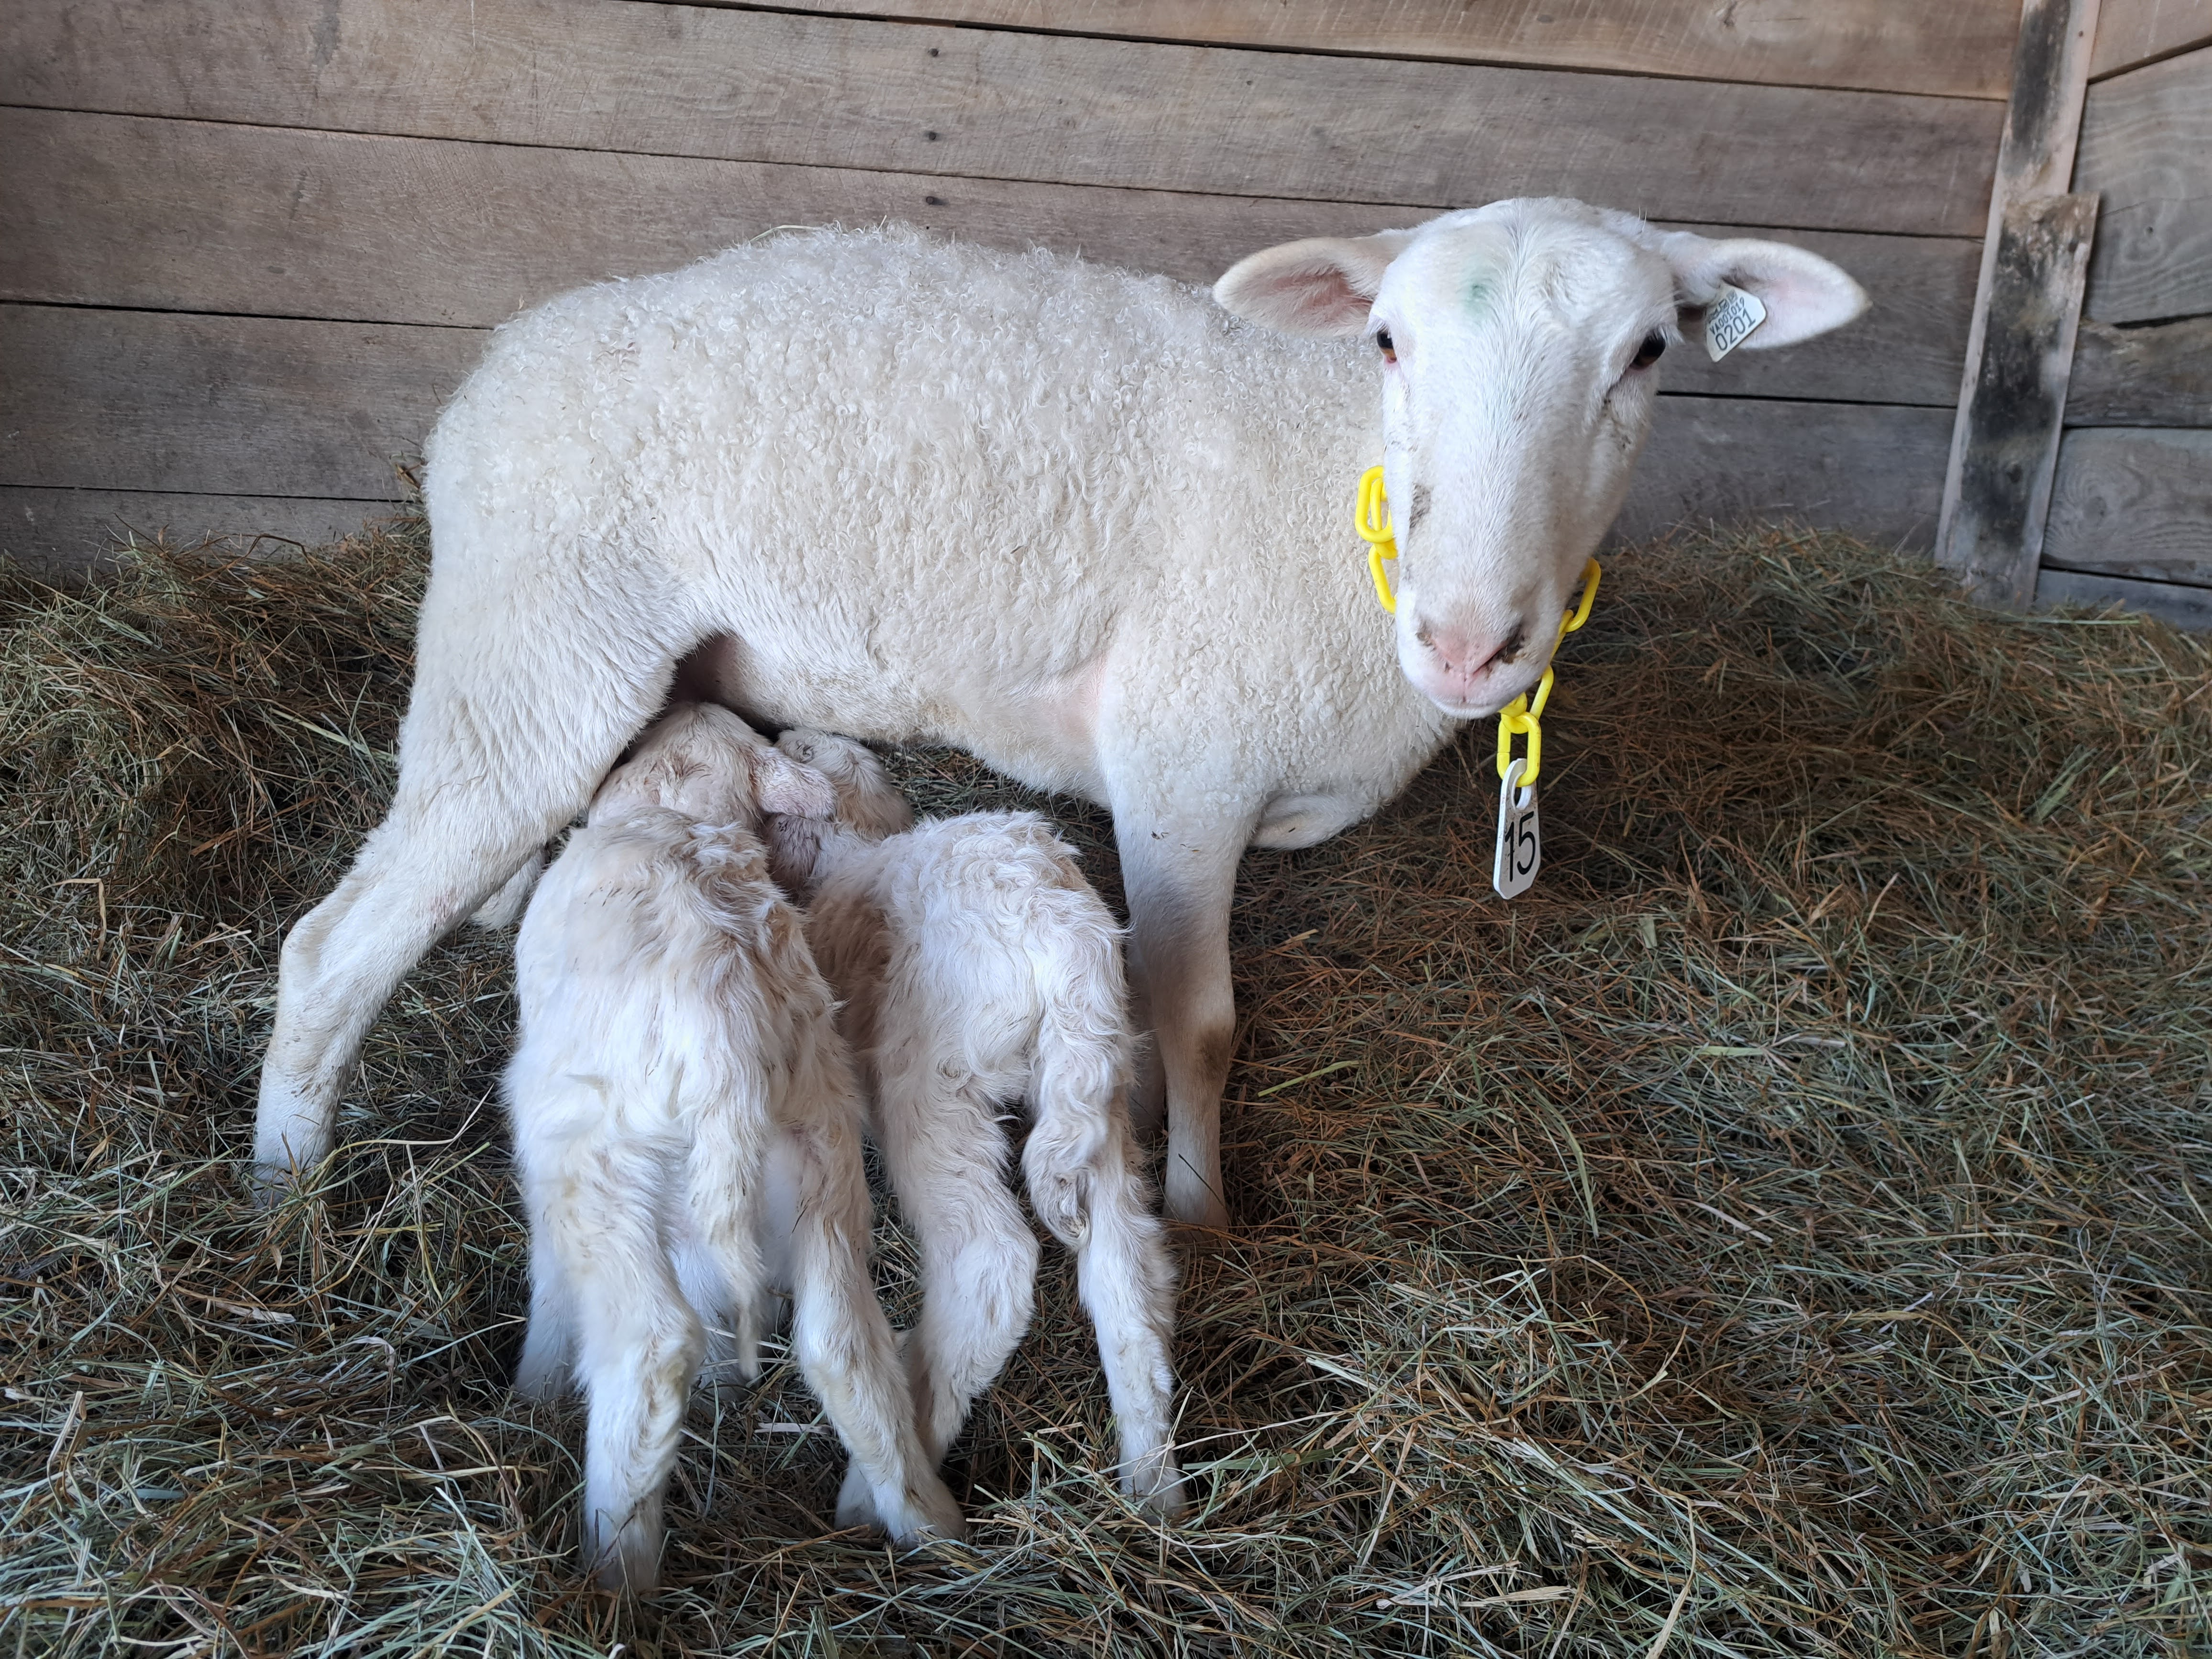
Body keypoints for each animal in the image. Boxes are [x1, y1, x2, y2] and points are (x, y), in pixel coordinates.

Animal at [253, 201, 1869, 1230]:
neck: (1333, 490)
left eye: (1649, 352)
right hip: (539, 635)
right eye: (1388, 342)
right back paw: (286, 1193)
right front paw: (1194, 1209)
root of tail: (492, 369)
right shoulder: (1179, 755)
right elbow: (1195, 1022)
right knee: (337, 941)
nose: (1469, 640)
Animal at [502, 702, 963, 1592]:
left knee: (650, 1350)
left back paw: (613, 1579)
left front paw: (533, 1390)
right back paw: (930, 1520)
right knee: (842, 1344)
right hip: (820, 1152)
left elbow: (549, 1278)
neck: (686, 821)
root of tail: (724, 1041)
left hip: (600, 1168)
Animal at [764, 727, 1184, 1519]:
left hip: (934, 1081)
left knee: (993, 1261)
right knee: (1127, 1270)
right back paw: (1154, 1485)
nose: (780, 734)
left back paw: (891, 1481)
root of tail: (1066, 932)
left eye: (804, 748)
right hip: (1092, 1082)